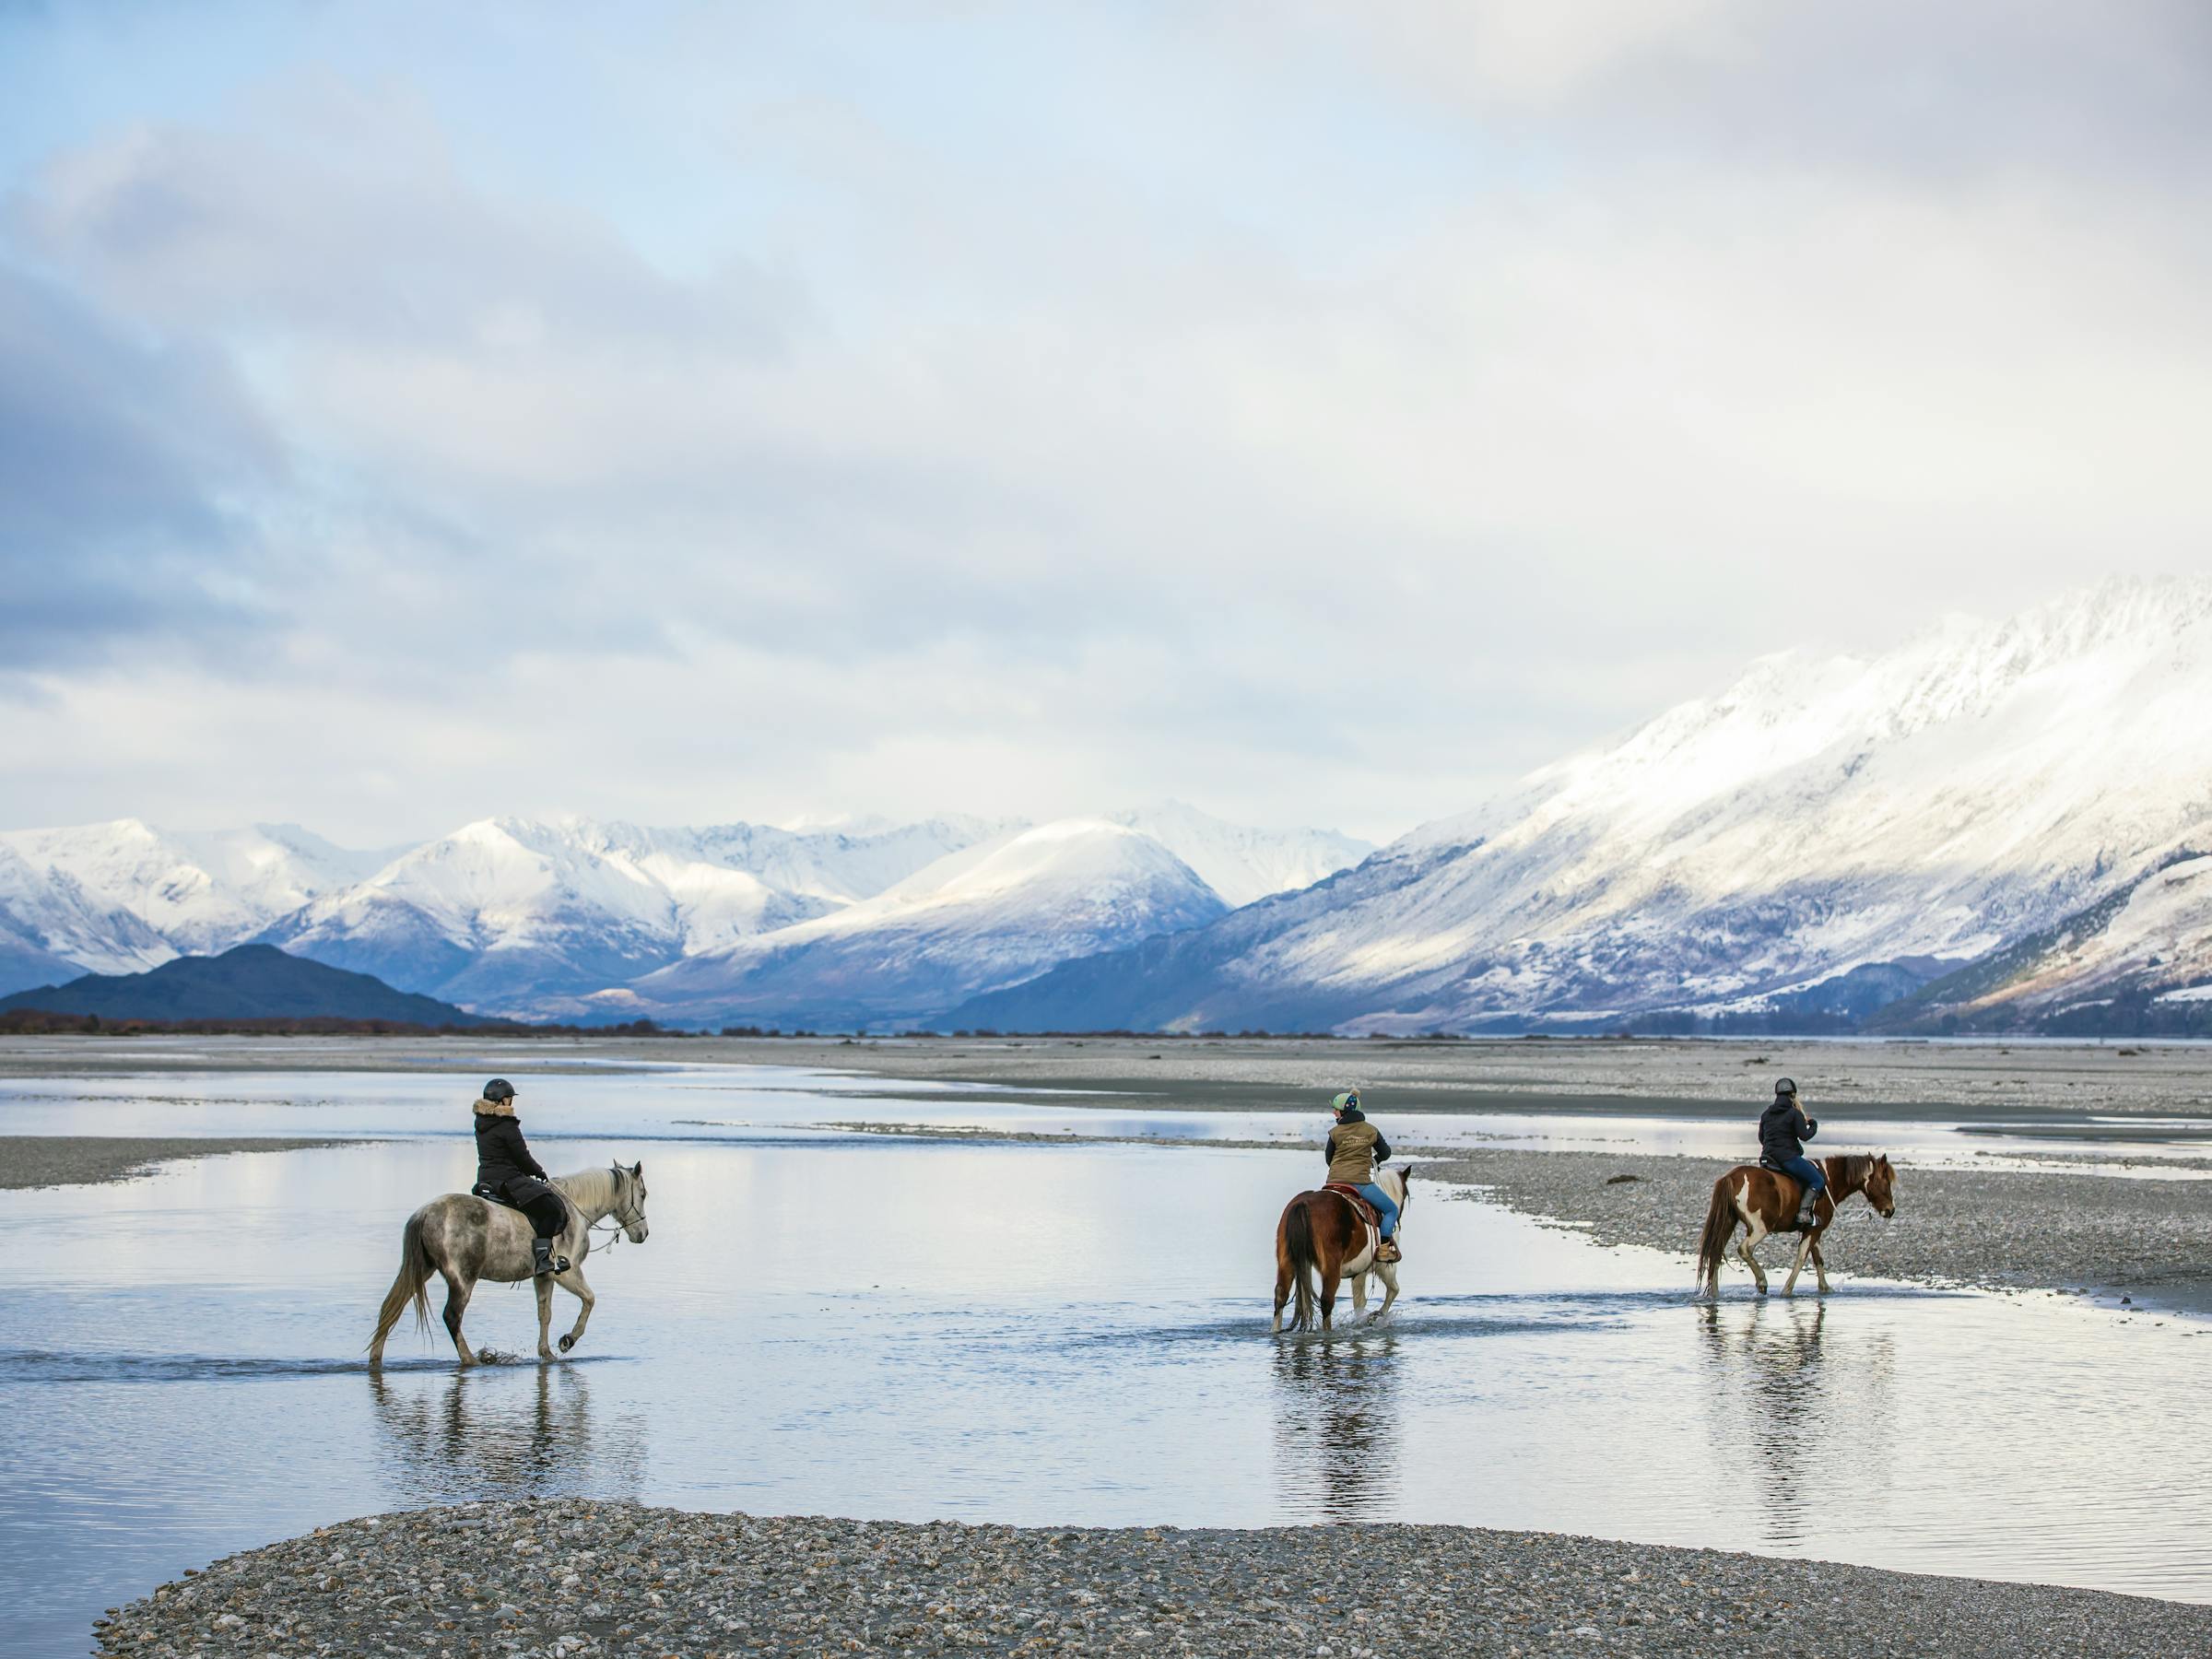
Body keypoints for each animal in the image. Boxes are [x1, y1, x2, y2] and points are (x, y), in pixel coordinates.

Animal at [369, 1162, 650, 1367]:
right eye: (643, 1194)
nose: (643, 1234)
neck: (575, 1210)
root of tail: (425, 1213)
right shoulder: (566, 1274)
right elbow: (590, 1300)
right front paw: (567, 1340)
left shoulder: (544, 1276)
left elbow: (545, 1314)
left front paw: (546, 1352)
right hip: (463, 1279)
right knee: (452, 1316)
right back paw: (471, 1359)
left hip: (422, 1269)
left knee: (390, 1308)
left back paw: (376, 1357)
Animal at [1273, 1164, 1412, 1333]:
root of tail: (1303, 1204)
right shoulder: (1384, 1267)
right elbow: (1393, 1290)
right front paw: (1374, 1316)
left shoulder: (1359, 1272)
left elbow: (1359, 1302)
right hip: (1331, 1268)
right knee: (1327, 1301)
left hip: (1286, 1261)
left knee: (1280, 1296)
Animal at [1695, 1152, 1896, 1299]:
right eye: (1885, 1181)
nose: (1891, 1210)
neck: (1829, 1180)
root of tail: (1731, 1177)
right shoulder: (1813, 1230)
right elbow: (1802, 1258)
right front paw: (1787, 1290)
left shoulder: (1813, 1230)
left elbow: (1818, 1259)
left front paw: (1825, 1289)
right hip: (1760, 1228)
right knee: (1744, 1249)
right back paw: (1761, 1281)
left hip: (1728, 1223)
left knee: (1716, 1252)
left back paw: (1715, 1294)